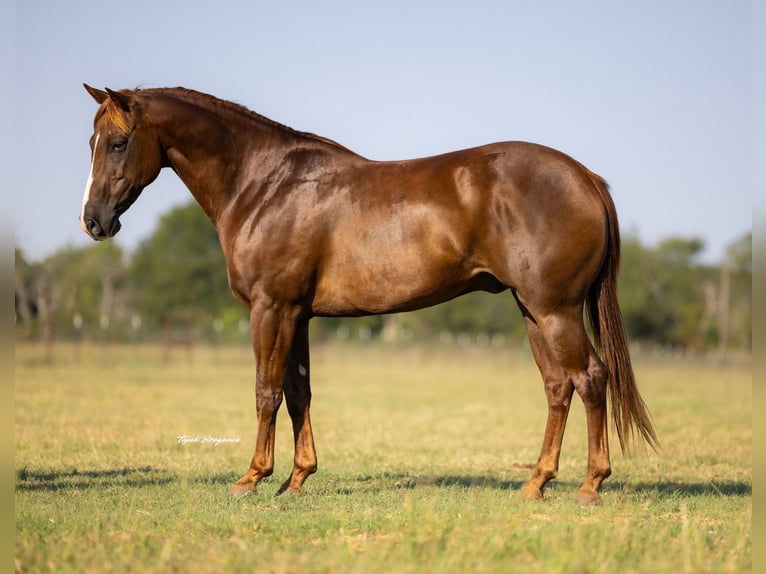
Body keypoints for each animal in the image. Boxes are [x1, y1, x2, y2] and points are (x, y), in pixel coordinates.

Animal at [80, 84, 658, 505]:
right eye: (91, 143)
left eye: (117, 143)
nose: (94, 221)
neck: (266, 185)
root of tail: (585, 177)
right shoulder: (298, 314)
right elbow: (299, 392)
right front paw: (297, 479)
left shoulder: (272, 308)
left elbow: (267, 391)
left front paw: (252, 478)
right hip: (533, 311)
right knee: (558, 387)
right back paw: (535, 483)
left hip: (555, 311)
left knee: (591, 378)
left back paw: (590, 486)